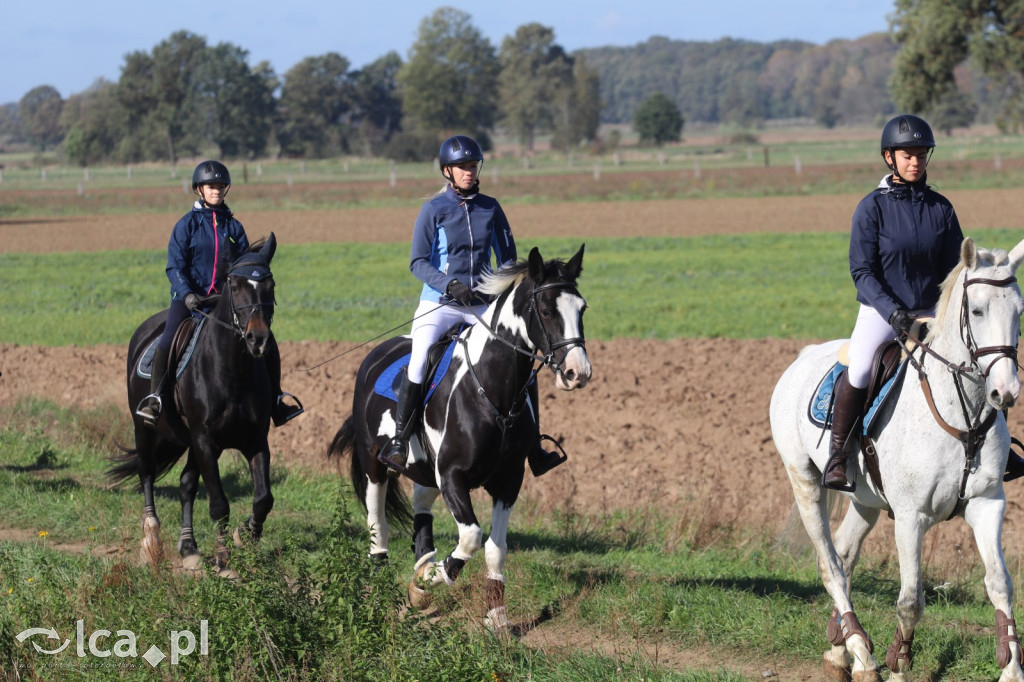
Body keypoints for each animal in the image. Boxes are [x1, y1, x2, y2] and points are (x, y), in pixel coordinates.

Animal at [109, 233, 280, 573]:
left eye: (270, 285)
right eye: (235, 285)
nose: (258, 340)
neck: (232, 372)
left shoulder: (254, 440)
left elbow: (263, 499)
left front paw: (246, 537)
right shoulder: (204, 440)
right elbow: (219, 504)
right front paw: (224, 561)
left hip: (189, 442)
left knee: (186, 484)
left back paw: (188, 546)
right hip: (145, 429)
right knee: (147, 474)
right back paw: (151, 540)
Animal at [327, 242, 593, 626]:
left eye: (582, 308)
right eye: (545, 310)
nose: (578, 372)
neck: (493, 393)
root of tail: (376, 355)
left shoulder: (508, 481)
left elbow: (496, 549)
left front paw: (496, 616)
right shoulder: (453, 476)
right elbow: (470, 538)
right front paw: (427, 584)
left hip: (425, 468)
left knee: (421, 503)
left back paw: (422, 563)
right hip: (374, 464)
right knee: (378, 524)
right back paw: (383, 582)